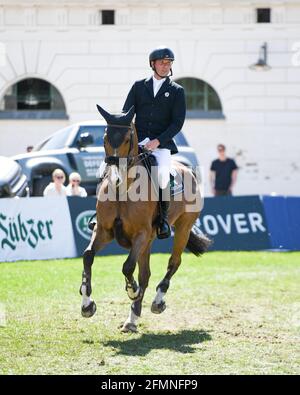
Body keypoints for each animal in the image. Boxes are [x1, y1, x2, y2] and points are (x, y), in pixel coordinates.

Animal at [79, 103, 211, 332]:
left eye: (126, 139)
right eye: (104, 138)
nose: (114, 171)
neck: (123, 190)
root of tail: (188, 171)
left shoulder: (141, 234)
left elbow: (127, 267)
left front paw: (132, 289)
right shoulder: (104, 231)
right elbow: (88, 256)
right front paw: (87, 304)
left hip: (182, 228)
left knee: (173, 263)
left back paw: (157, 302)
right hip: (149, 241)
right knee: (146, 274)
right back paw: (132, 319)